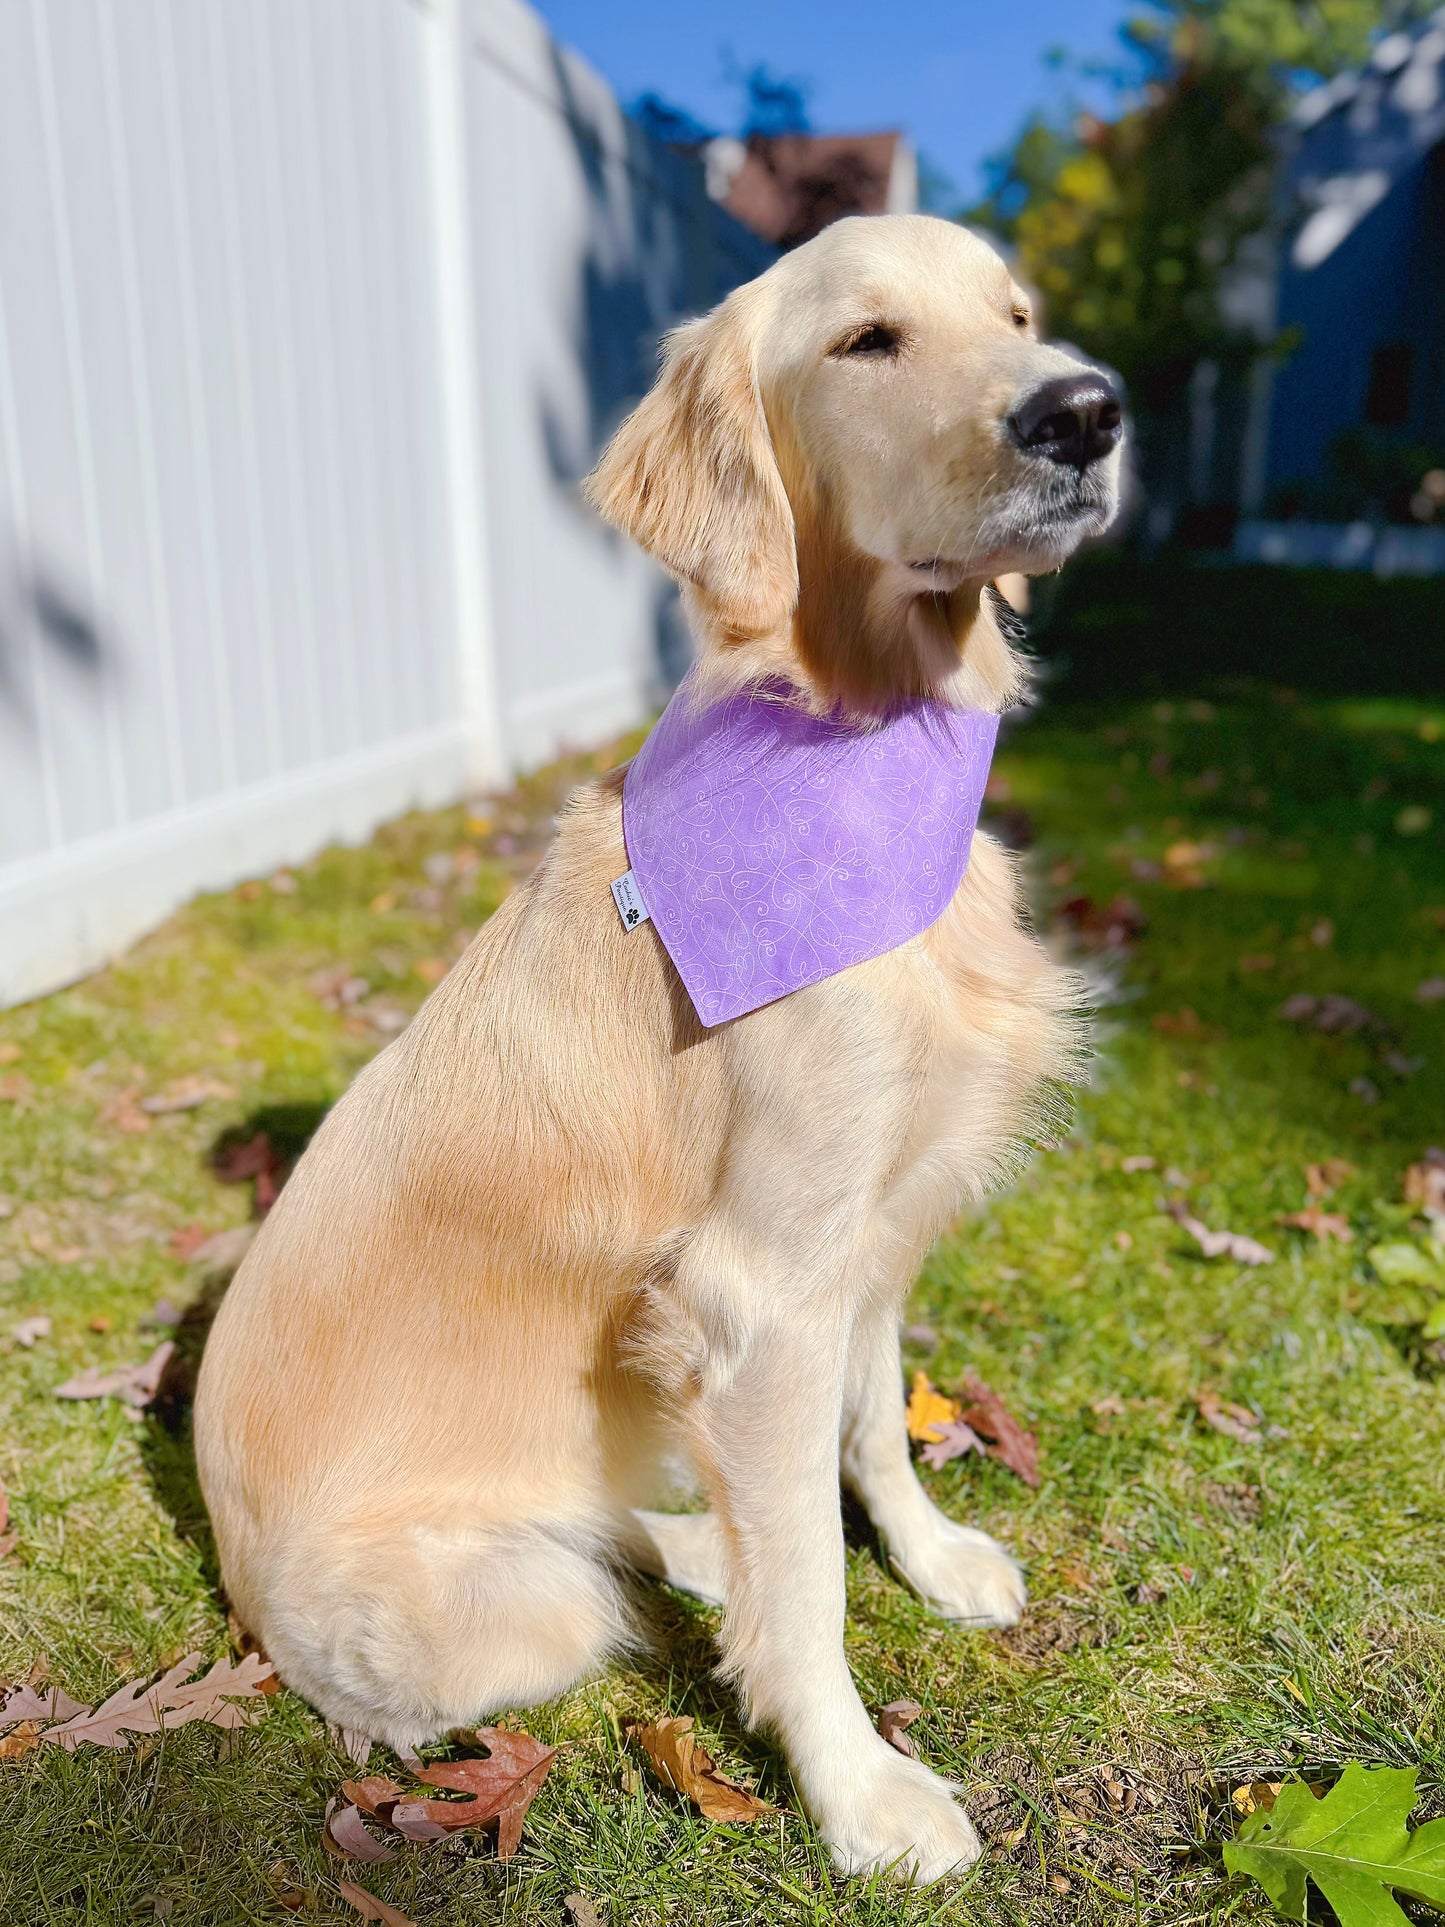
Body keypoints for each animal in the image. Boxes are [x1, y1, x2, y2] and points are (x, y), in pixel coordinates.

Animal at [195, 214, 1117, 1880]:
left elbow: (874, 1426)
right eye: (867, 340)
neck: (854, 737)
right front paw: (860, 1790)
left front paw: (930, 1553)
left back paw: (696, 1540)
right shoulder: (760, 1287)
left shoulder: (863, 1237)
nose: (1084, 411)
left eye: (1017, 316)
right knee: (601, 1564)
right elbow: (808, 1582)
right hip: (519, 1607)